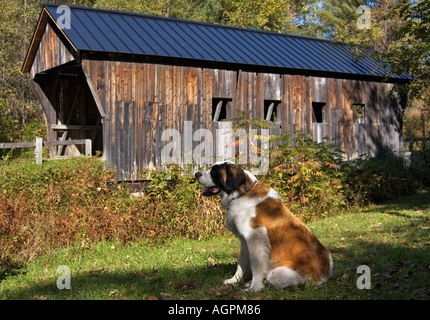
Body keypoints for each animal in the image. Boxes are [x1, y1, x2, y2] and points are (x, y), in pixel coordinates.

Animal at [195, 162, 332, 292]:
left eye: (214, 172)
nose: (196, 174)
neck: (243, 193)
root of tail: (324, 277)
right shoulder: (245, 241)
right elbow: (241, 263)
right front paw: (234, 280)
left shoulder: (256, 237)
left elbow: (256, 266)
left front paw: (254, 288)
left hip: (277, 273)